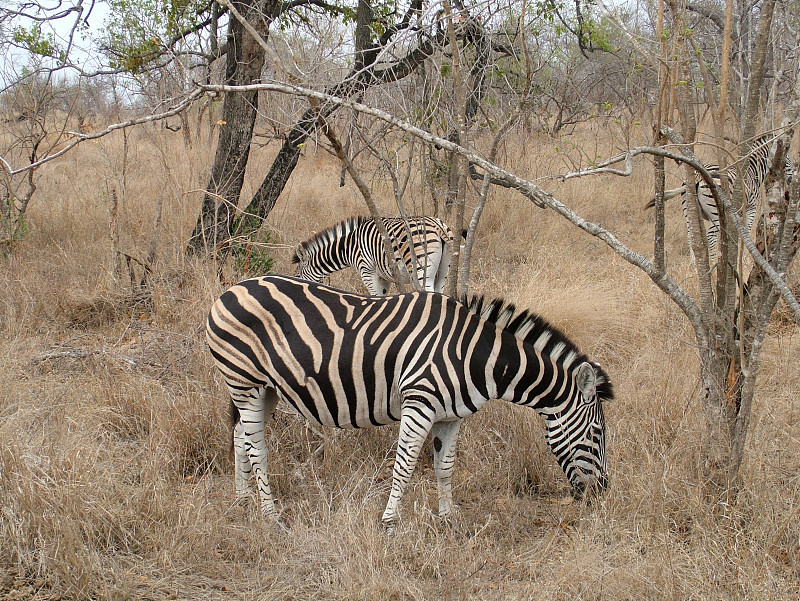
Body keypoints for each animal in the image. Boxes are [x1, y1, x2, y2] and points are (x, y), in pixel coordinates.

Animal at [206, 274, 612, 532]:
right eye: (596, 433)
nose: (602, 494)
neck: (474, 355)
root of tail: (229, 291)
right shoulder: (419, 402)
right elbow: (404, 466)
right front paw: (389, 523)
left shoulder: (451, 416)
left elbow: (445, 467)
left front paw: (448, 519)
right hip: (245, 380)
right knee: (257, 447)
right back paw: (271, 516)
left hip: (266, 389)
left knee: (242, 436)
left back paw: (243, 501)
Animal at [294, 216, 456, 296]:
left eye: (297, 276)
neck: (349, 247)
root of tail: (437, 225)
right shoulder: (384, 277)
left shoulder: (367, 271)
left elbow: (374, 296)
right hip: (443, 271)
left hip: (422, 269)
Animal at [644, 134, 792, 258]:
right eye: (786, 156)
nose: (791, 178)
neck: (753, 170)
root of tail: (698, 177)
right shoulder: (751, 208)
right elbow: (747, 231)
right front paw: (743, 255)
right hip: (715, 211)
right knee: (711, 238)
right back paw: (713, 263)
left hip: (689, 208)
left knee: (691, 237)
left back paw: (695, 266)